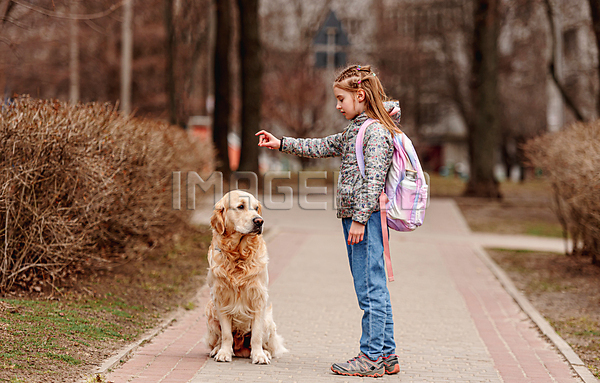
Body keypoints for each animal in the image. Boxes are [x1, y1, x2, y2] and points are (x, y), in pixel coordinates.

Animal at [204, 190, 286, 364]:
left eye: (256, 208)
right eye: (241, 206)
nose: (259, 221)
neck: (238, 256)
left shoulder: (259, 298)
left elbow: (256, 335)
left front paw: (259, 355)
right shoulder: (221, 298)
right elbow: (226, 334)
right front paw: (224, 353)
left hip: (268, 320)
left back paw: (265, 352)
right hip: (210, 311)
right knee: (219, 339)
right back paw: (216, 350)